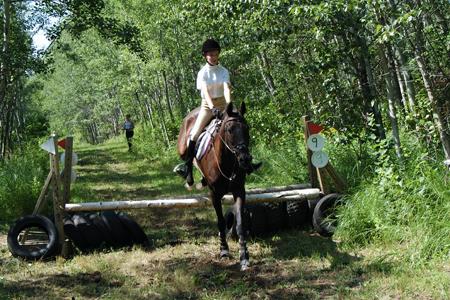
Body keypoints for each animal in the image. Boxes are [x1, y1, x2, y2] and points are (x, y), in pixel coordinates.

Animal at [178, 102, 255, 270]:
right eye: (229, 130)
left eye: (247, 128)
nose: (245, 159)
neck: (226, 161)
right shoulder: (214, 194)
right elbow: (220, 222)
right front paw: (224, 250)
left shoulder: (239, 191)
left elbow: (240, 223)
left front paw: (244, 257)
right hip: (182, 148)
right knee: (188, 152)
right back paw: (189, 179)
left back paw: (201, 181)